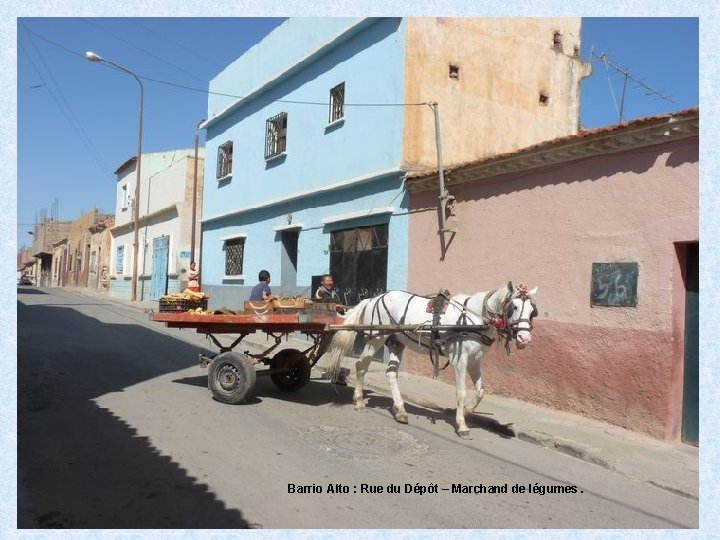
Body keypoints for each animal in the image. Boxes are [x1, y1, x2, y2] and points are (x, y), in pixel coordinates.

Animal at [324, 282, 536, 438]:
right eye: (514, 306)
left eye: (532, 310)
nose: (525, 338)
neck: (474, 318)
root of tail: (374, 298)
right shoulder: (460, 360)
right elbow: (461, 392)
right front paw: (462, 424)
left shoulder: (475, 361)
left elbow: (481, 391)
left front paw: (467, 411)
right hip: (376, 337)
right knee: (361, 365)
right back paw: (359, 401)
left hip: (396, 342)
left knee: (391, 373)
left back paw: (400, 410)